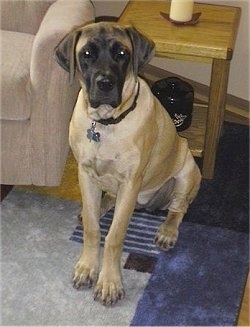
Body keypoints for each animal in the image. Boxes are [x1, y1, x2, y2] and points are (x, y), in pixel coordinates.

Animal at [54, 21, 201, 306]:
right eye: (86, 54)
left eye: (121, 53)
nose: (105, 84)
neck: (105, 123)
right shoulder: (85, 173)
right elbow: (92, 229)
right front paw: (87, 268)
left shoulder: (131, 182)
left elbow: (114, 235)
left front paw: (109, 283)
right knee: (106, 200)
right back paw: (95, 208)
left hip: (187, 170)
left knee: (179, 208)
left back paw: (167, 231)